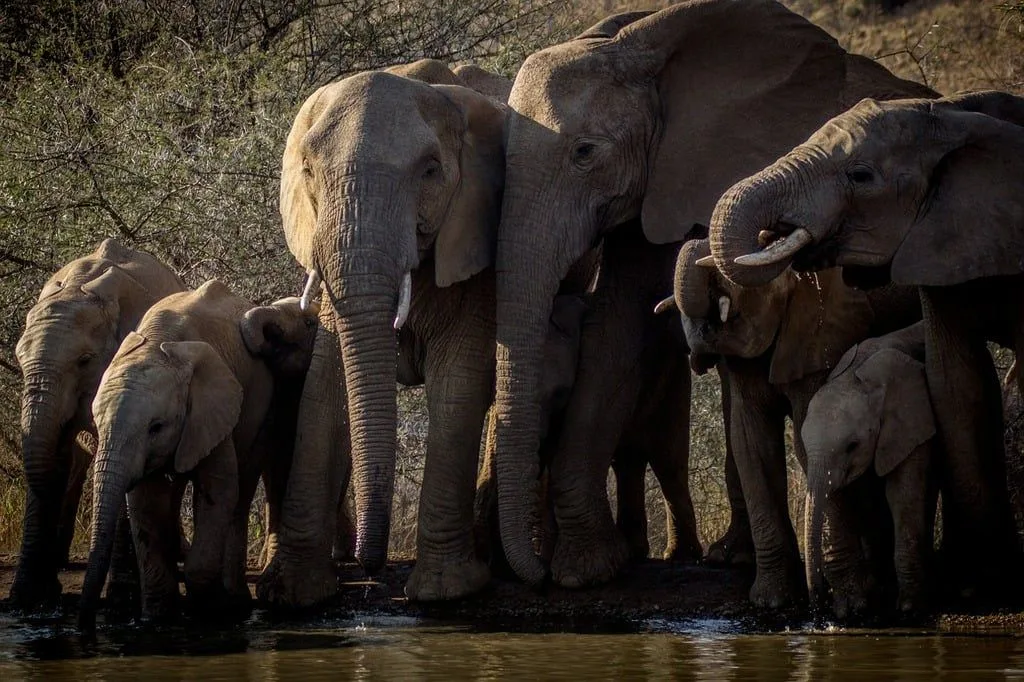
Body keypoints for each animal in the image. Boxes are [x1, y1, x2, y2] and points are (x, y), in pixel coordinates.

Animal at [11, 237, 185, 609]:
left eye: (85, 360)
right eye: (19, 359)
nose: (52, 589)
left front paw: (120, 599)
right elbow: (55, 452)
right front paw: (27, 600)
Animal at [79, 280, 317, 626]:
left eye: (156, 427)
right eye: (96, 422)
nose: (85, 625)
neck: (157, 346)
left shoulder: (212, 409)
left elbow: (218, 490)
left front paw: (214, 612)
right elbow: (145, 502)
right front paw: (157, 619)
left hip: (262, 407)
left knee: (242, 487)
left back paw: (236, 601)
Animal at [802, 322, 938, 616]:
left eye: (852, 445)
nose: (819, 607)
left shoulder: (913, 418)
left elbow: (901, 494)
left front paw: (909, 607)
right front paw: (856, 605)